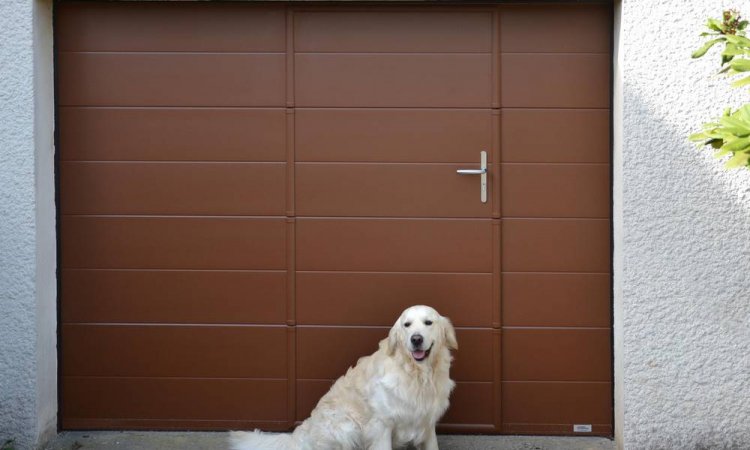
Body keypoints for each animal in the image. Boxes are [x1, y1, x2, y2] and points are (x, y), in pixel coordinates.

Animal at [228, 304, 458, 448]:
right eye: (407, 325)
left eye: (428, 322)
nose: (416, 339)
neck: (418, 374)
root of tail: (301, 431)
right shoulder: (381, 425)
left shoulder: (427, 421)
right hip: (347, 425)